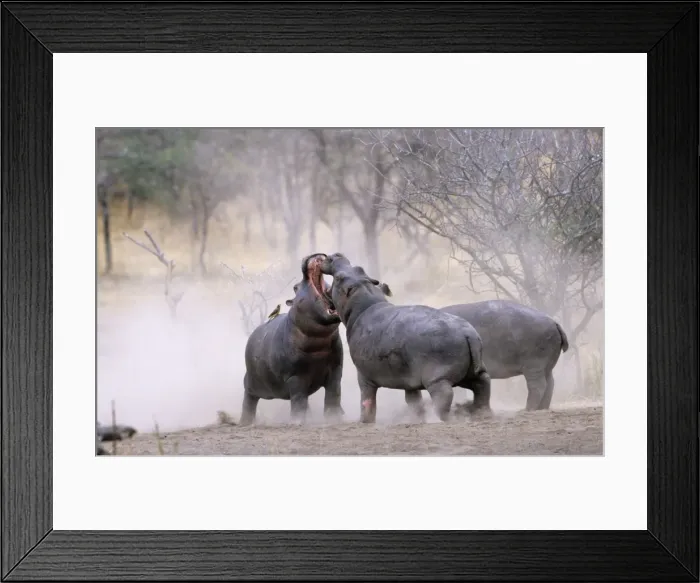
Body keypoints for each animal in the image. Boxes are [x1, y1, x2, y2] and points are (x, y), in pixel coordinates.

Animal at [239, 253, 344, 426]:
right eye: (295, 287)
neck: (319, 342)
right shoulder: (295, 377)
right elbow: (298, 399)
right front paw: (297, 422)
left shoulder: (336, 368)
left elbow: (333, 394)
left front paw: (335, 419)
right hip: (250, 382)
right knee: (249, 401)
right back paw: (245, 422)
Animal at [319, 253, 491, 423]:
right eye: (359, 269)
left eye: (339, 278)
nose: (336, 255)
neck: (364, 302)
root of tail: (468, 332)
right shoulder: (409, 380)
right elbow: (413, 401)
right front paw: (416, 419)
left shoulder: (363, 375)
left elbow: (367, 401)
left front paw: (364, 422)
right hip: (471, 373)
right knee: (483, 385)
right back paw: (482, 414)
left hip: (437, 379)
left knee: (445, 396)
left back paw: (446, 419)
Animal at [440, 300, 569, 410]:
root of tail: (554, 322)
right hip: (547, 365)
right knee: (550, 383)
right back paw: (542, 409)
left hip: (534, 364)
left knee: (538, 385)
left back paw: (526, 410)